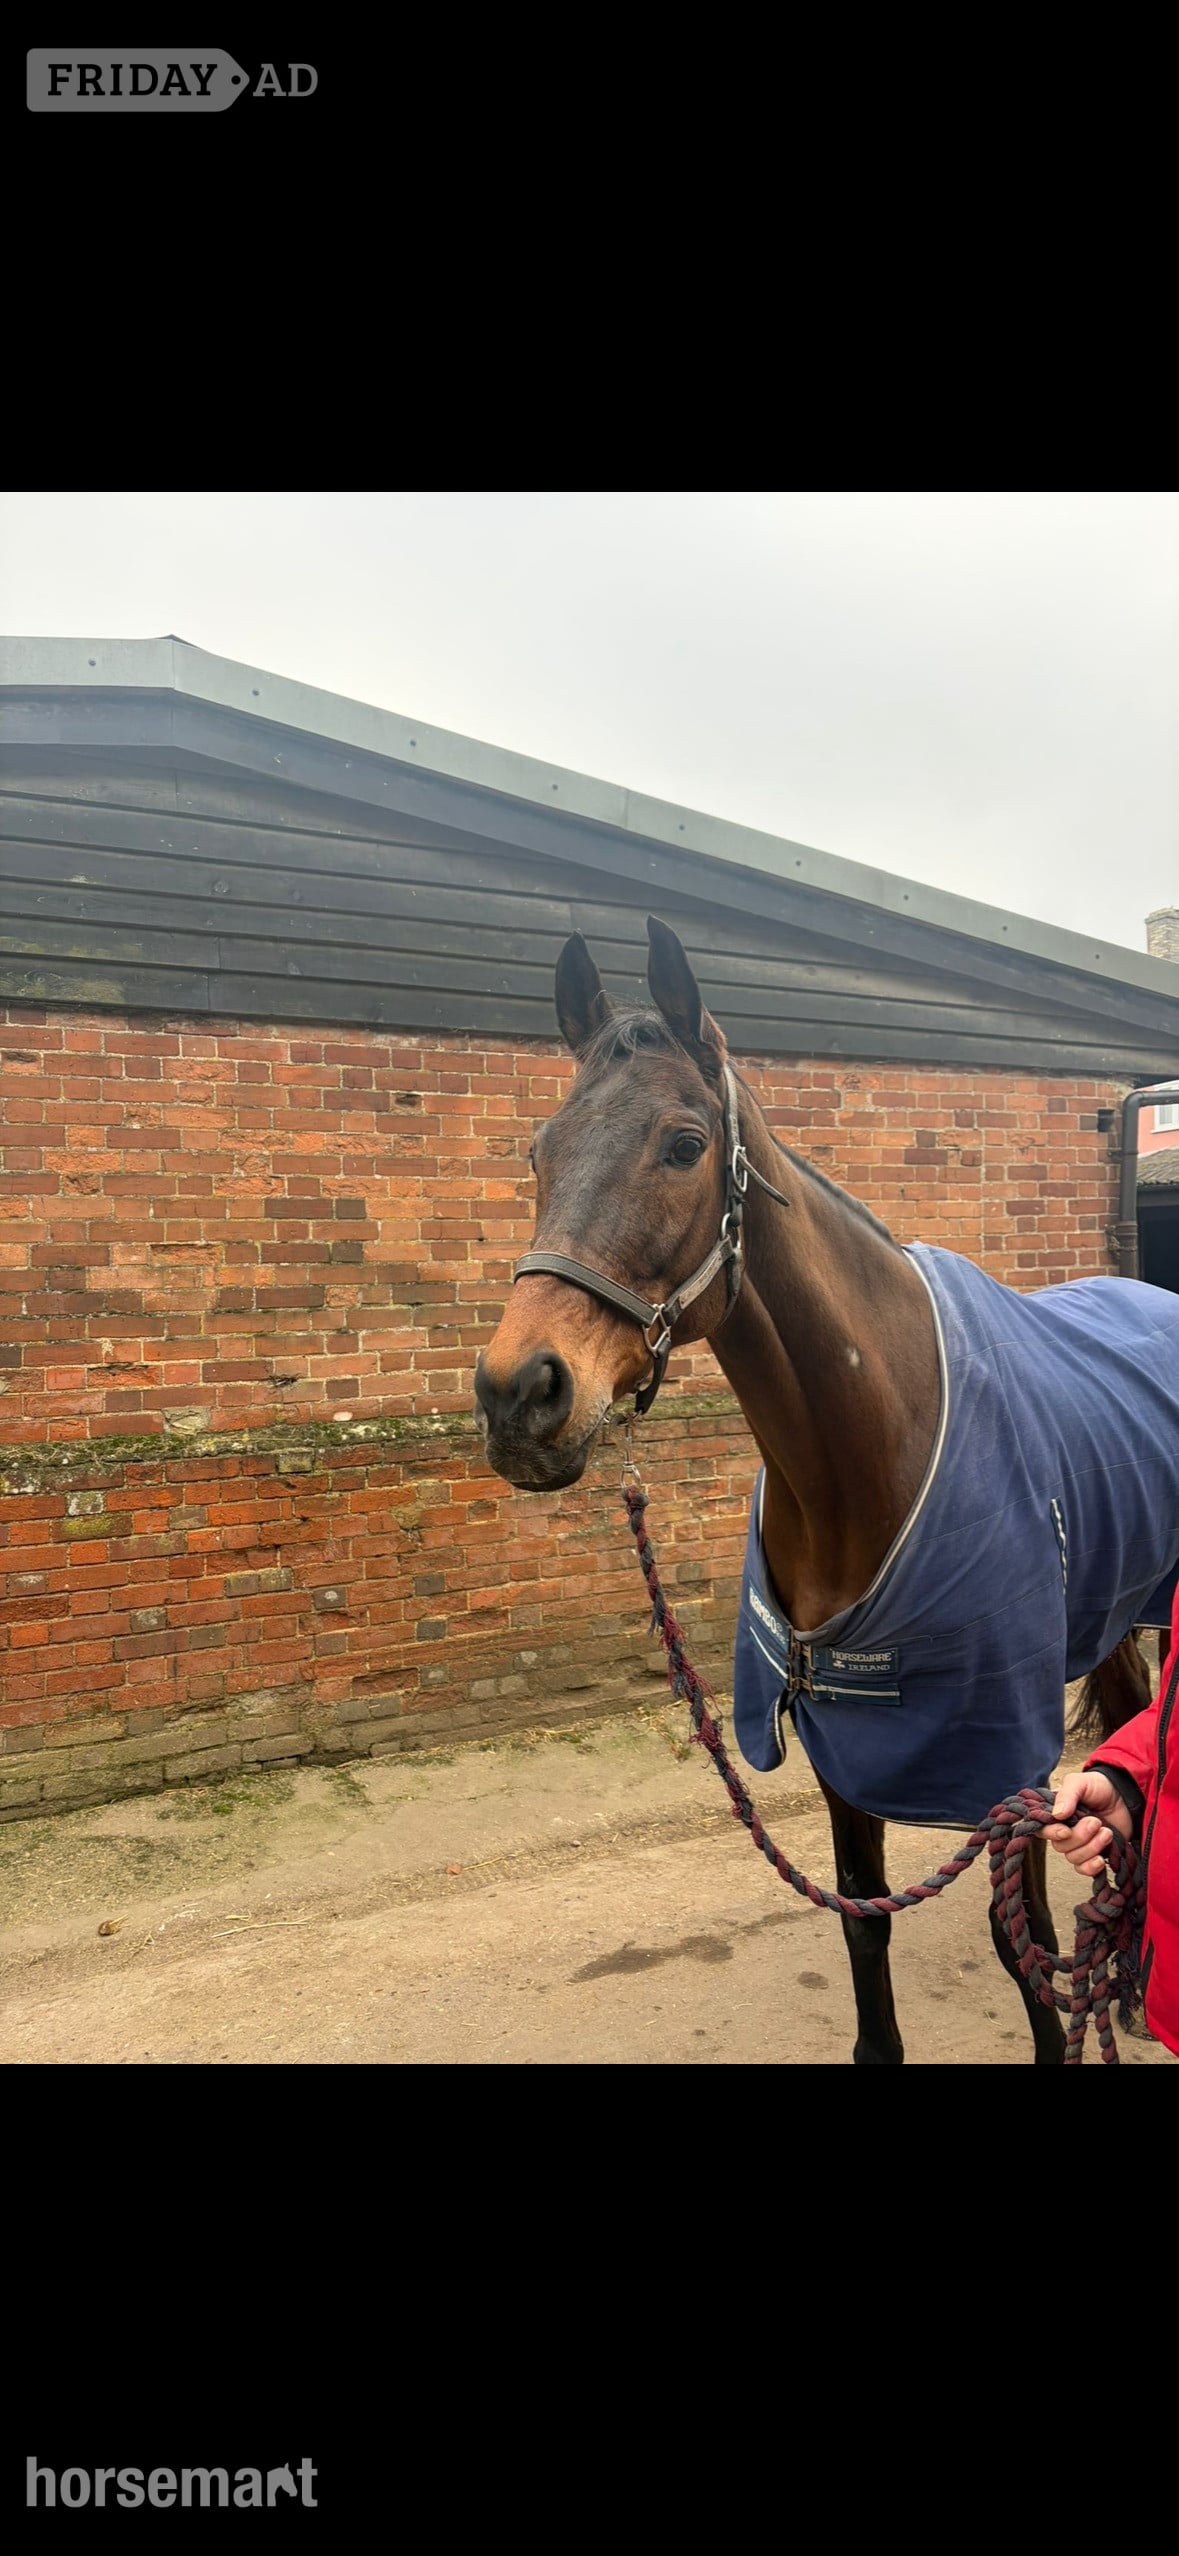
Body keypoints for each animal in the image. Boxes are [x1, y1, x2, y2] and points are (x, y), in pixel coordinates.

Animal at [475, 916, 1176, 2064]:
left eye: (682, 1144)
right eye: (539, 1151)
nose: (515, 1396)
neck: (868, 1460)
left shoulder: (1007, 1766)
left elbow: (1020, 1954)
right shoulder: (843, 1748)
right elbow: (863, 1929)